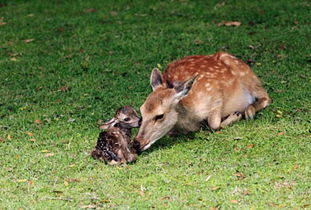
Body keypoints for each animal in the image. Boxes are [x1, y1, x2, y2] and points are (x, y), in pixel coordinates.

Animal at [135, 52, 272, 152]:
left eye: (160, 115)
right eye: (141, 111)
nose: (136, 143)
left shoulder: (216, 93)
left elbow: (214, 125)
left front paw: (235, 115)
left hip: (248, 77)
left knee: (266, 97)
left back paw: (249, 111)